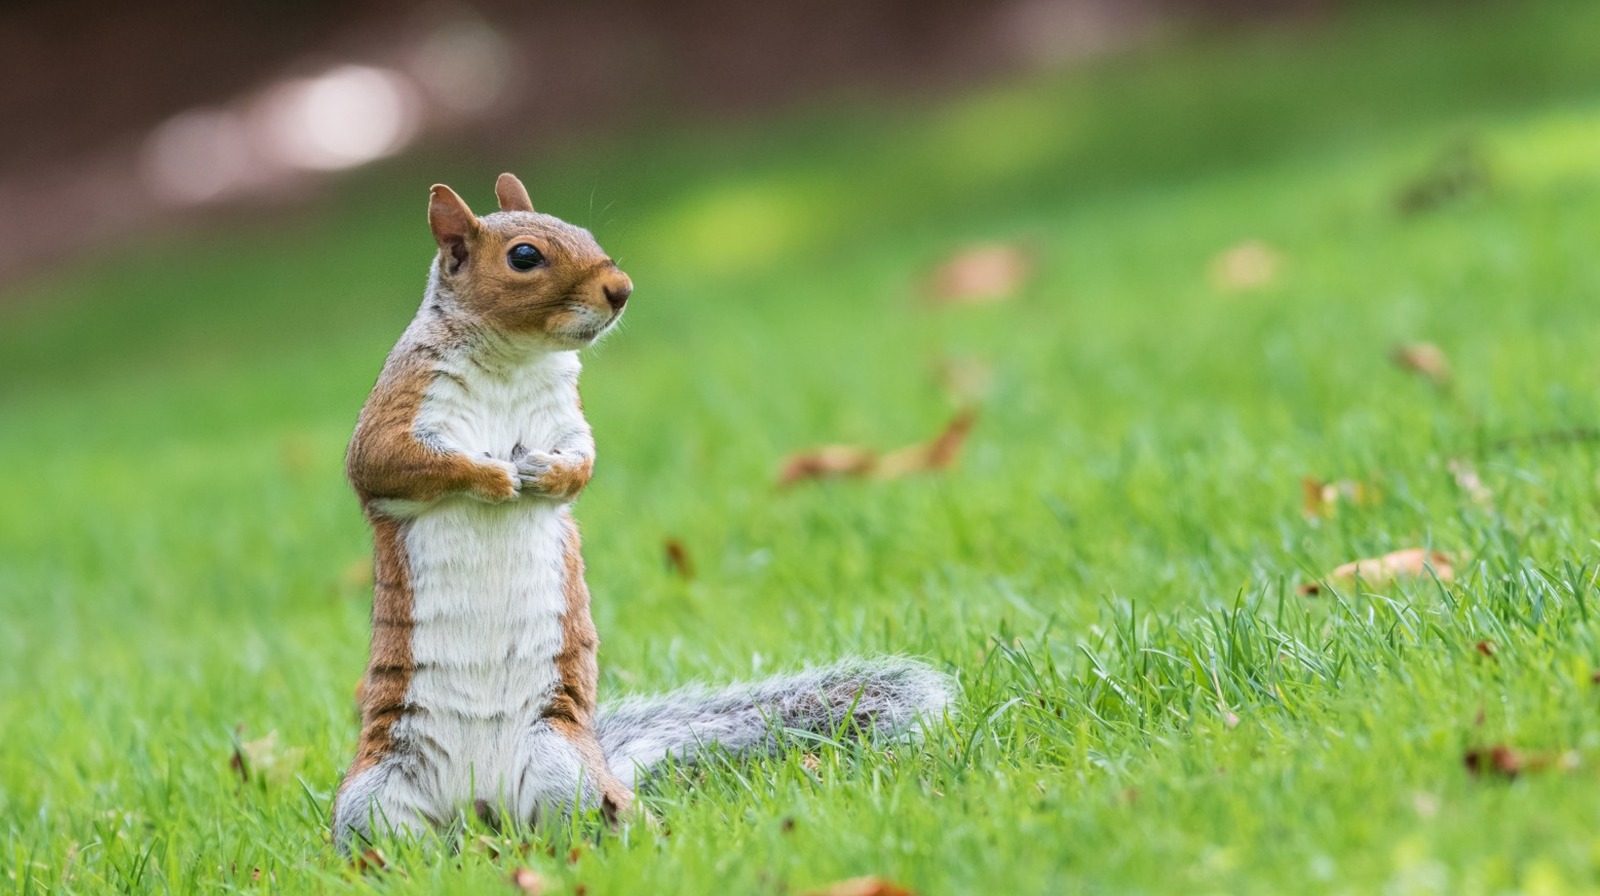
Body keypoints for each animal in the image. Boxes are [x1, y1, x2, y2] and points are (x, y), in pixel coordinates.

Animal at [332, 173, 954, 851]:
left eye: (584, 231)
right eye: (523, 256)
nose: (621, 289)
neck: (512, 360)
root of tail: (484, 811)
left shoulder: (566, 417)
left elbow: (582, 463)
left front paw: (544, 474)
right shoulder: (403, 405)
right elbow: (388, 461)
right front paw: (495, 475)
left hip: (561, 768)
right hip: (375, 797)